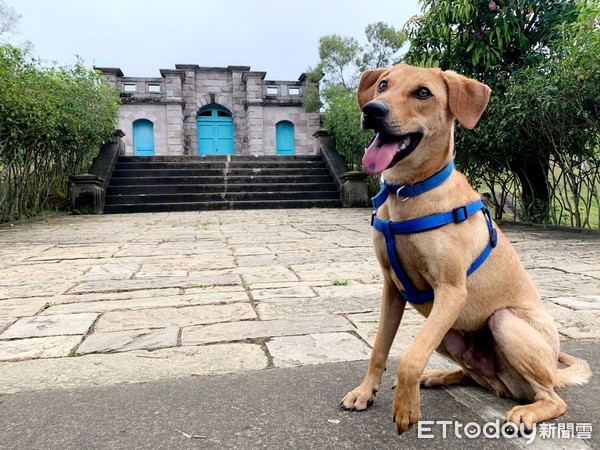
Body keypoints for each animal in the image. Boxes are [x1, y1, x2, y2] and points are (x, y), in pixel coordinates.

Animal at [342, 63, 592, 432]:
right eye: (383, 85)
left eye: (423, 93)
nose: (372, 111)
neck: (409, 193)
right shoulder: (391, 287)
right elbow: (379, 348)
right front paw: (364, 392)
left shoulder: (451, 291)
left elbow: (411, 356)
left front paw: (406, 407)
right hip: (449, 333)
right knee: (482, 380)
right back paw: (439, 376)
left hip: (502, 322)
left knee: (551, 398)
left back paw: (528, 411)